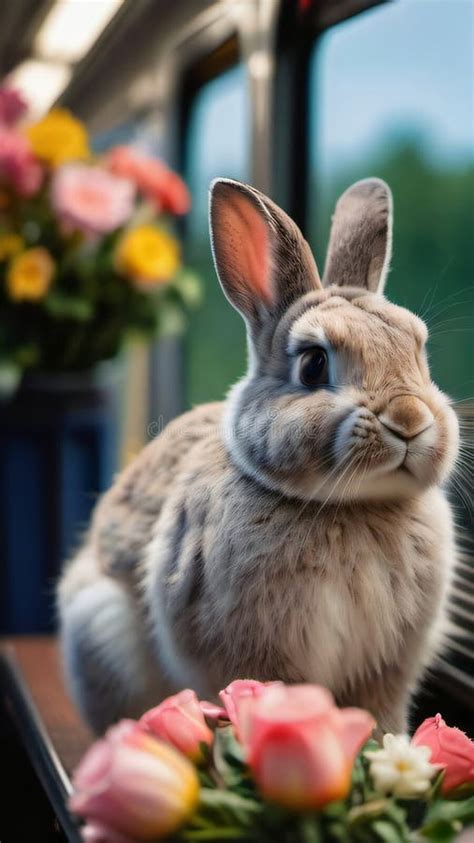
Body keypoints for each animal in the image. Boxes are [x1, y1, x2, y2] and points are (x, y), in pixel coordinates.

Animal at [56, 180, 460, 740]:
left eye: (419, 353)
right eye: (313, 365)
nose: (408, 419)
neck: (348, 507)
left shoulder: (385, 668)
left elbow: (379, 715)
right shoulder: (257, 654)